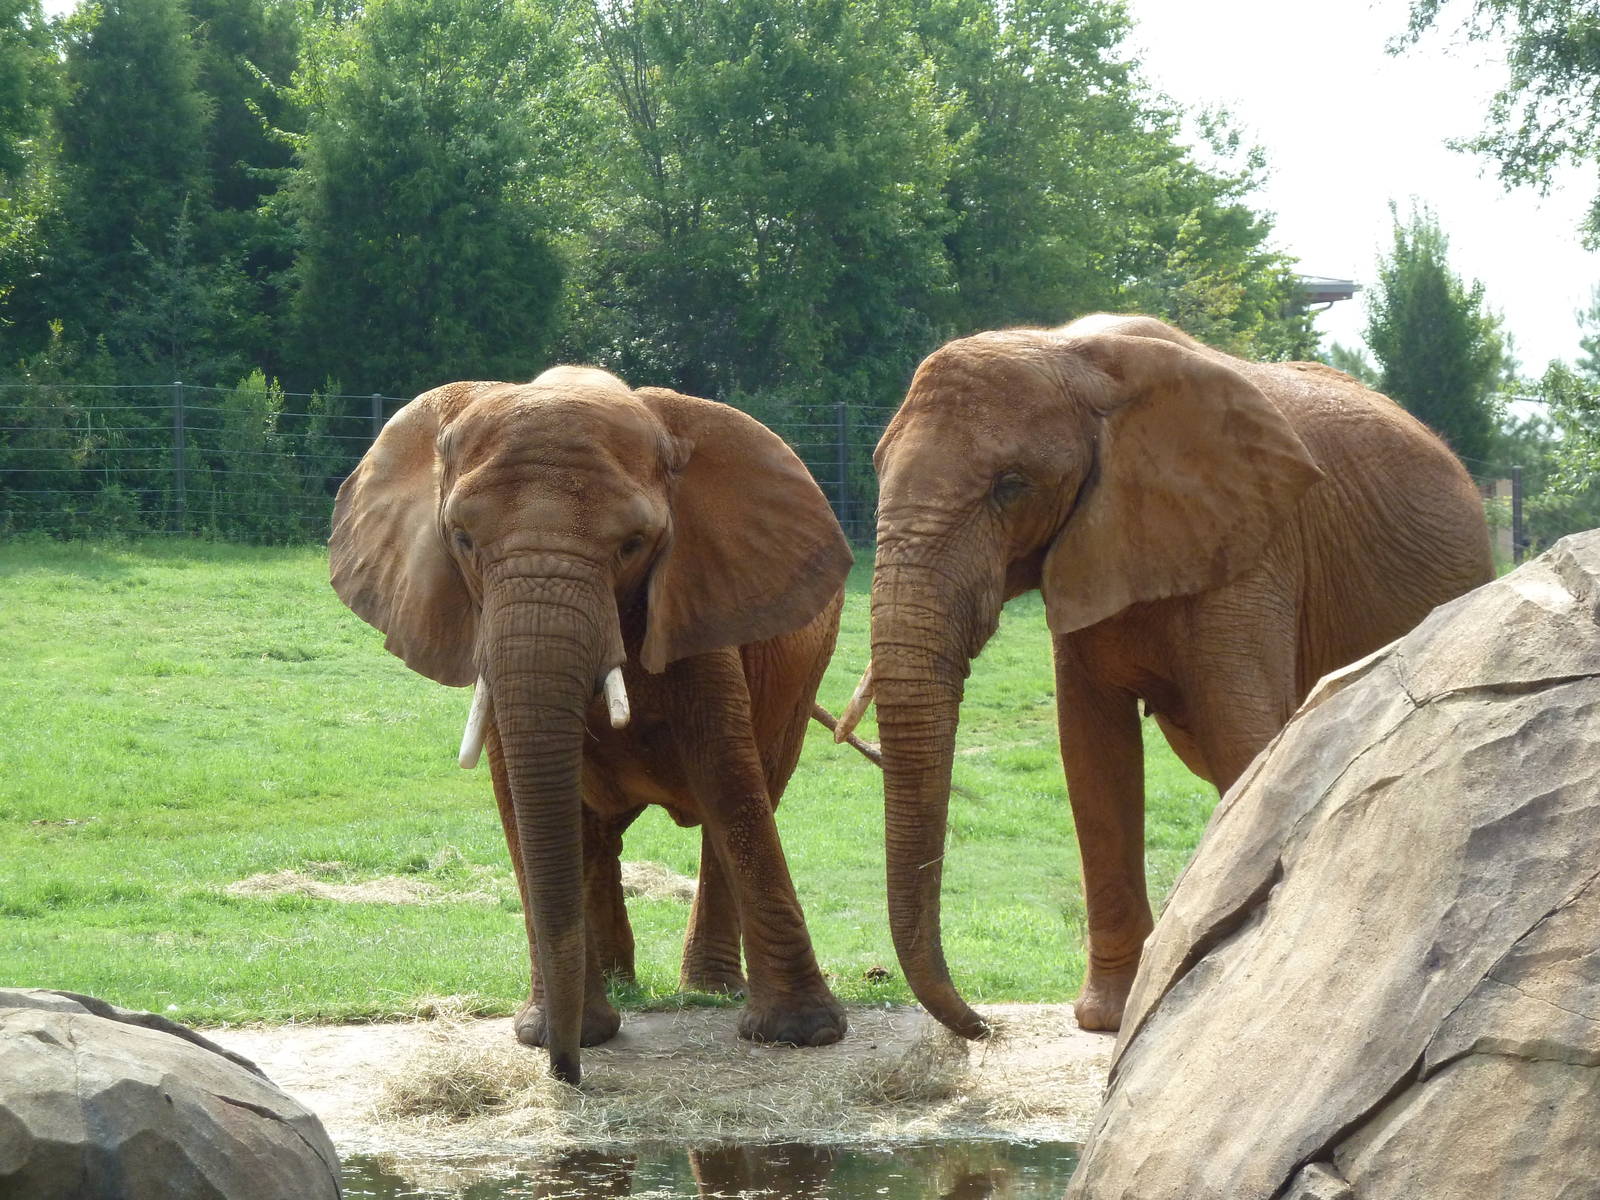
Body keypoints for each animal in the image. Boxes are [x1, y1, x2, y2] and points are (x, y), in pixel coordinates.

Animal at [330, 366, 854, 1084]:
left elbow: (727, 777)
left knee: (750, 792)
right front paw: (559, 1032)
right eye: (462, 541)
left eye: (632, 545)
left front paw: (803, 1036)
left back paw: (707, 992)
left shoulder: (697, 594)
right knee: (596, 833)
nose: (566, 1070)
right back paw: (617, 989)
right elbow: (517, 794)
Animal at [835, 313, 1494, 1037]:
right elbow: (1092, 755)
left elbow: (1245, 739)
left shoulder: (1252, 548)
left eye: (1011, 485)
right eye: (875, 466)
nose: (981, 1025)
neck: (1077, 358)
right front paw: (1110, 1017)